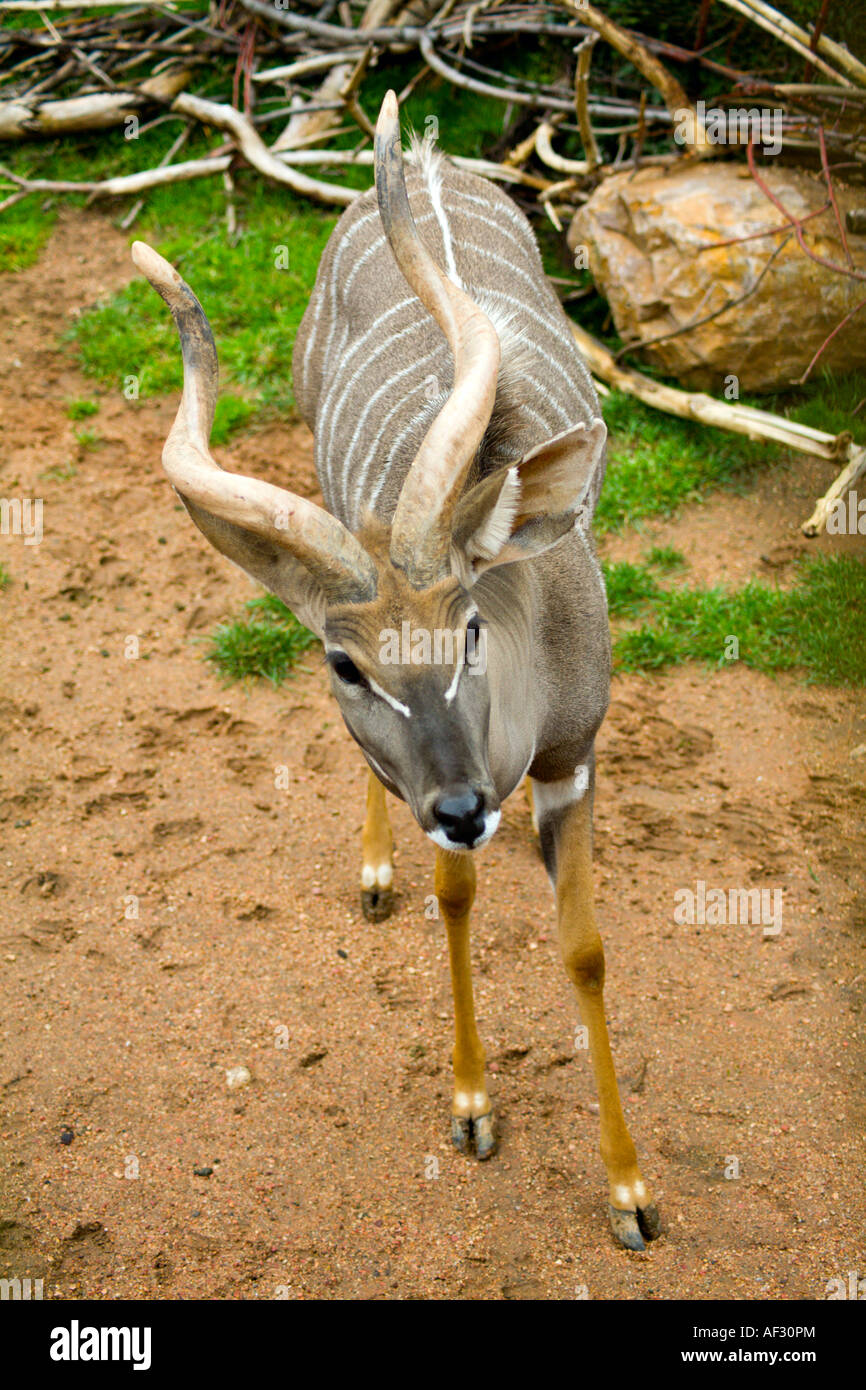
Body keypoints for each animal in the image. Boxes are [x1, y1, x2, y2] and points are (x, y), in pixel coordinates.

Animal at [134, 92, 664, 1256]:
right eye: (345, 660)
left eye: (467, 626)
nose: (463, 805)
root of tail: (422, 157)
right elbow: (453, 898)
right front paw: (471, 1107)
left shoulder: (573, 759)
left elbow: (587, 951)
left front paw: (632, 1193)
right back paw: (376, 872)